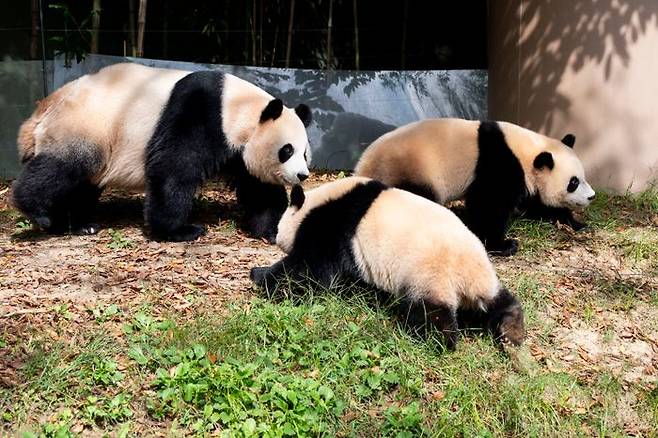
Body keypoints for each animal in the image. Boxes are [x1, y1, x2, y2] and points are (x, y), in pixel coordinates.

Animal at [11, 62, 312, 241]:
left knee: (81, 184)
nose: (302, 175)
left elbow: (258, 188)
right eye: (287, 150)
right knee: (64, 167)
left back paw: (78, 223)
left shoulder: (238, 149)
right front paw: (181, 230)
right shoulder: (200, 112)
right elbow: (173, 168)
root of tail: (47, 104)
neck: (238, 107)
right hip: (86, 124)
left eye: (305, 153)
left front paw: (270, 229)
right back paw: (40, 212)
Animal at [249, 176, 524, 350]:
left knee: (430, 312)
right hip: (482, 276)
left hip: (428, 274)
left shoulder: (332, 226)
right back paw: (511, 328)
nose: (274, 238)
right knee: (498, 300)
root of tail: (466, 277)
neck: (317, 202)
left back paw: (439, 340)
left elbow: (310, 271)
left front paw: (259, 275)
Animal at [354, 119, 596, 256]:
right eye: (573, 182)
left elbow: (534, 204)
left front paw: (577, 223)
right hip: (409, 170)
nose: (592, 197)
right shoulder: (499, 164)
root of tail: (362, 167)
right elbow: (489, 204)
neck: (526, 151)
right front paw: (504, 245)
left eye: (583, 177)